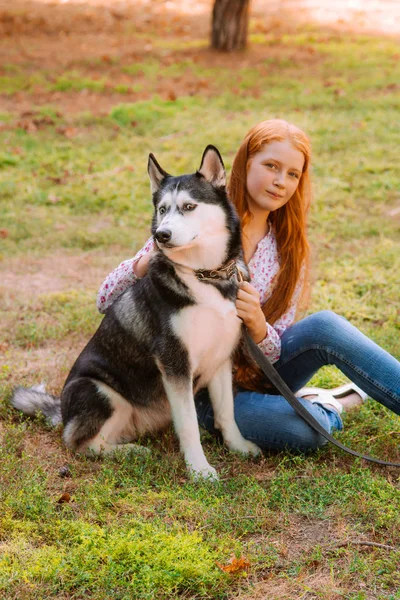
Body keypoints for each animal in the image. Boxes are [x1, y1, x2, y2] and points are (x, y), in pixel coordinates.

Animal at [10, 148, 260, 480]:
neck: (205, 275)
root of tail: (62, 413)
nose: (162, 235)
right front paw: (199, 469)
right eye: (163, 209)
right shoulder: (173, 362)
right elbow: (189, 425)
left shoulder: (221, 357)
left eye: (189, 207)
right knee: (80, 443)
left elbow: (226, 412)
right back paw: (130, 452)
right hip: (100, 391)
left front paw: (238, 446)